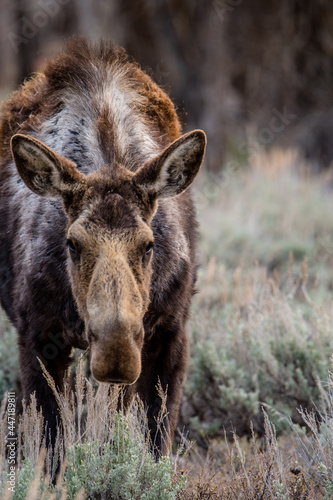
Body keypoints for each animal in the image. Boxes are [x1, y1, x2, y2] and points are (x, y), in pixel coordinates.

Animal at [0, 39, 205, 458]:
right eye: (72, 244)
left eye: (148, 245)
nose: (117, 356)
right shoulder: (37, 335)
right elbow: (51, 448)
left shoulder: (171, 331)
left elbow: (156, 442)